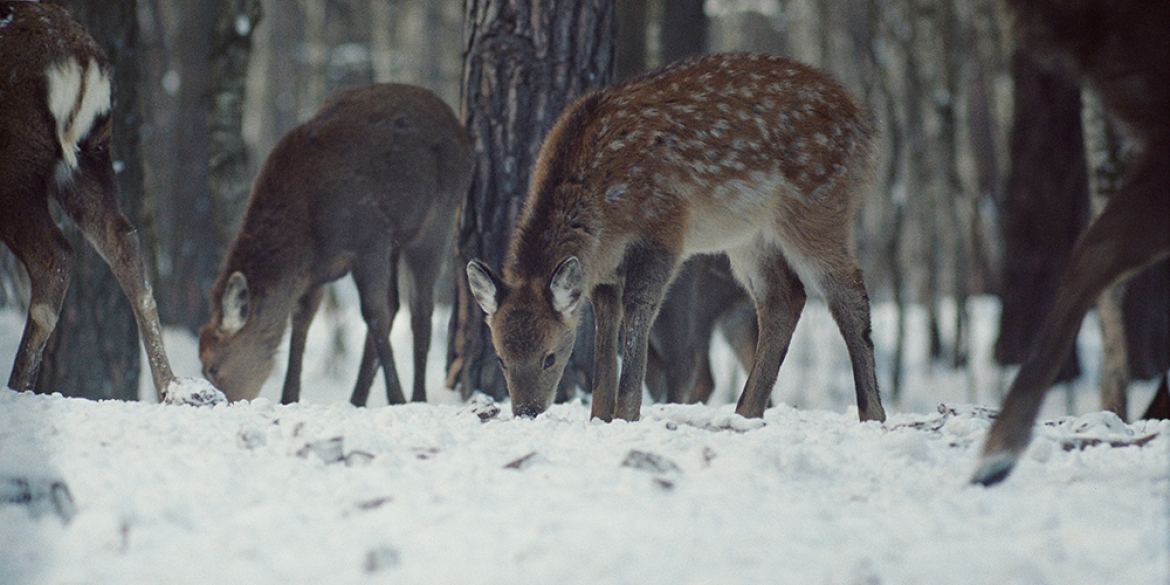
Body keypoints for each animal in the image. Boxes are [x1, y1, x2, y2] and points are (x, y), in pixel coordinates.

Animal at [1, 0, 221, 404]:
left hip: (15, 164)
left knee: (55, 254)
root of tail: (80, 65)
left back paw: (17, 387)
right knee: (124, 240)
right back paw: (176, 387)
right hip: (93, 153)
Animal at [198, 83, 472, 407]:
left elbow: (375, 314)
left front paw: (397, 398)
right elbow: (302, 318)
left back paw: (417, 396)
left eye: (213, 367)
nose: (220, 401)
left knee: (420, 309)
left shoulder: (370, 239)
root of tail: (465, 135)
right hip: (396, 241)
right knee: (396, 303)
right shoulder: (317, 271)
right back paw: (357, 399)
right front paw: (289, 397)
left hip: (436, 219)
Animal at [465, 52, 884, 423]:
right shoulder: (603, 267)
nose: (526, 411)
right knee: (783, 296)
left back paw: (872, 413)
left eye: (550, 356)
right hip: (748, 235)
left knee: (847, 289)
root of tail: (864, 123)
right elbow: (606, 328)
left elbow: (639, 311)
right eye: (501, 357)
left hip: (817, 204)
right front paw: (599, 416)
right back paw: (745, 413)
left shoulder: (664, 227)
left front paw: (626, 415)